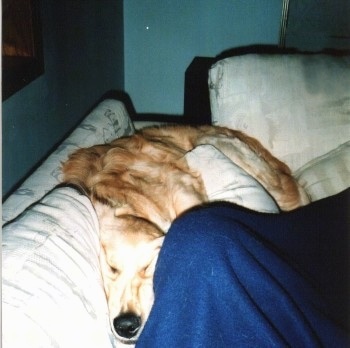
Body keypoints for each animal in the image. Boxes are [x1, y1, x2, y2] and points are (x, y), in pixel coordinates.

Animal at [60, 124, 308, 342]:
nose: (126, 326)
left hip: (214, 144)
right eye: (111, 268)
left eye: (148, 266)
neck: (131, 198)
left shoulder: (185, 191)